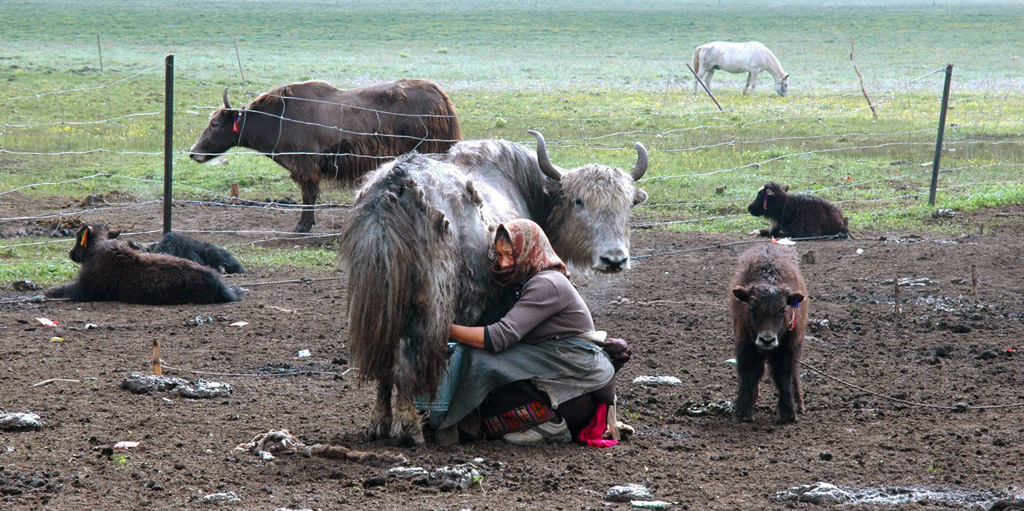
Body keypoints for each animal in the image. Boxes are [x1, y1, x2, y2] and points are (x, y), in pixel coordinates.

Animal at [48, 223, 246, 303]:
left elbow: (60, 290)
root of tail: (216, 281)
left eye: (78, 236)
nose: (71, 253)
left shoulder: (83, 291)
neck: (96, 250)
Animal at [342, 130, 647, 446]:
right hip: (429, 295)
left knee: (383, 351)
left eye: (626, 205)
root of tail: (396, 185)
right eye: (579, 201)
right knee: (407, 349)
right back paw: (409, 427)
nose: (615, 259)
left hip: (379, 294)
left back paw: (380, 421)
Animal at [729, 243, 806, 423]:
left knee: (794, 373)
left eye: (783, 309)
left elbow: (784, 376)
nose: (767, 340)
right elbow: (749, 375)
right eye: (752, 308)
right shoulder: (746, 346)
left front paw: (788, 414)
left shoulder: (787, 349)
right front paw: (743, 412)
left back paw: (799, 405)